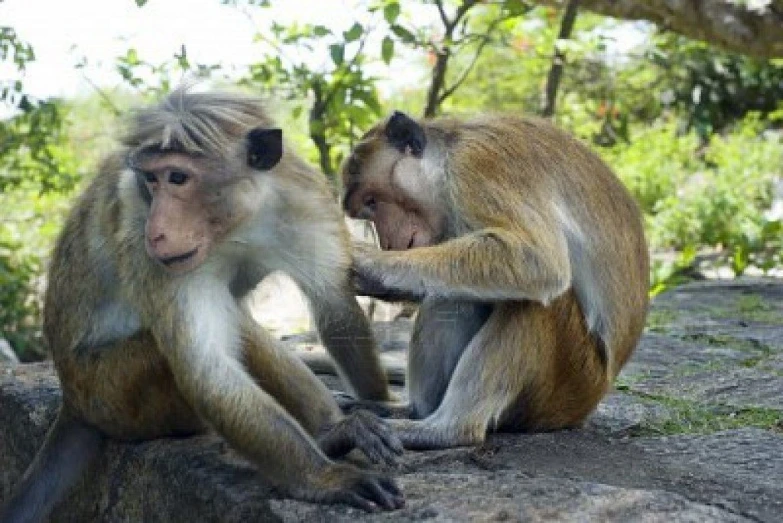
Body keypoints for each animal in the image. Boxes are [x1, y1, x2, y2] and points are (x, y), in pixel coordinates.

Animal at [0, 88, 404, 520]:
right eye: (150, 179)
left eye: (177, 177)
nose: (157, 232)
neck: (236, 223)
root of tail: (74, 402)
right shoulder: (143, 230)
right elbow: (208, 372)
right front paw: (325, 479)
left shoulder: (305, 199)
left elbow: (336, 309)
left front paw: (376, 404)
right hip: (113, 391)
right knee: (226, 329)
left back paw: (332, 433)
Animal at [340, 110, 652, 450]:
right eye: (367, 208)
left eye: (373, 200)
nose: (387, 241)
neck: (447, 156)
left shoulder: (477, 169)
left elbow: (540, 261)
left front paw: (371, 264)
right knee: (454, 296)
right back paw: (414, 411)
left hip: (570, 384)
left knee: (536, 304)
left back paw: (447, 429)